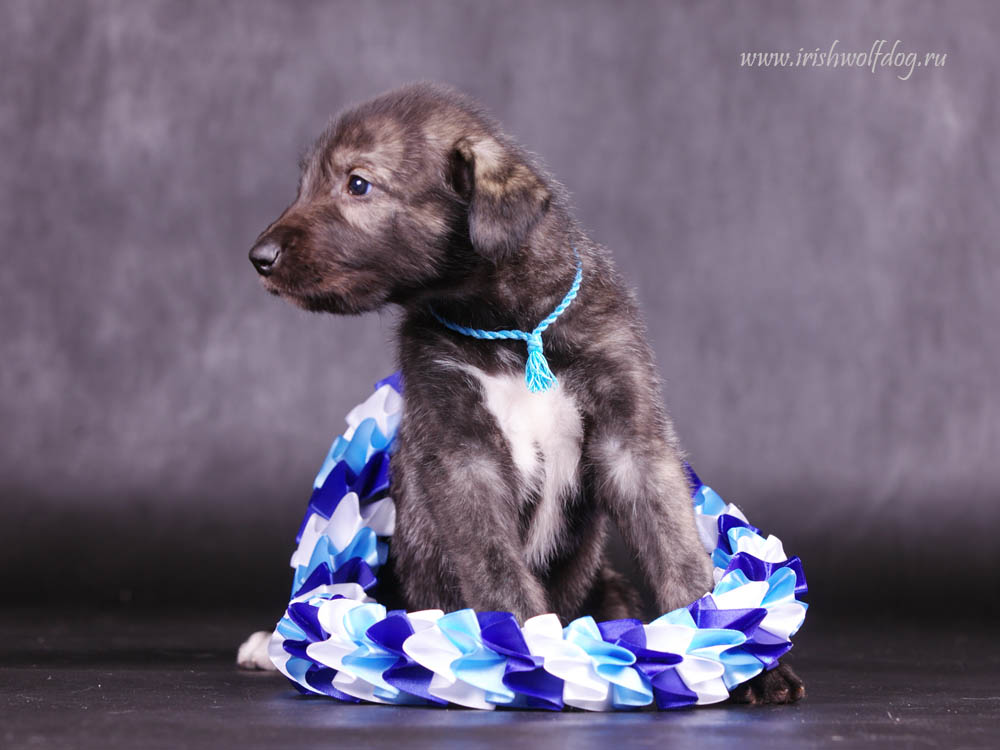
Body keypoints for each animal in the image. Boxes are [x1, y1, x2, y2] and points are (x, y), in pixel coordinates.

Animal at [240, 83, 804, 704]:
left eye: (357, 183)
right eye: (304, 184)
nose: (259, 257)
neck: (511, 326)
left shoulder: (630, 434)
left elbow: (678, 549)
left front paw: (744, 658)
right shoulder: (463, 453)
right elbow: (496, 567)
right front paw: (529, 653)